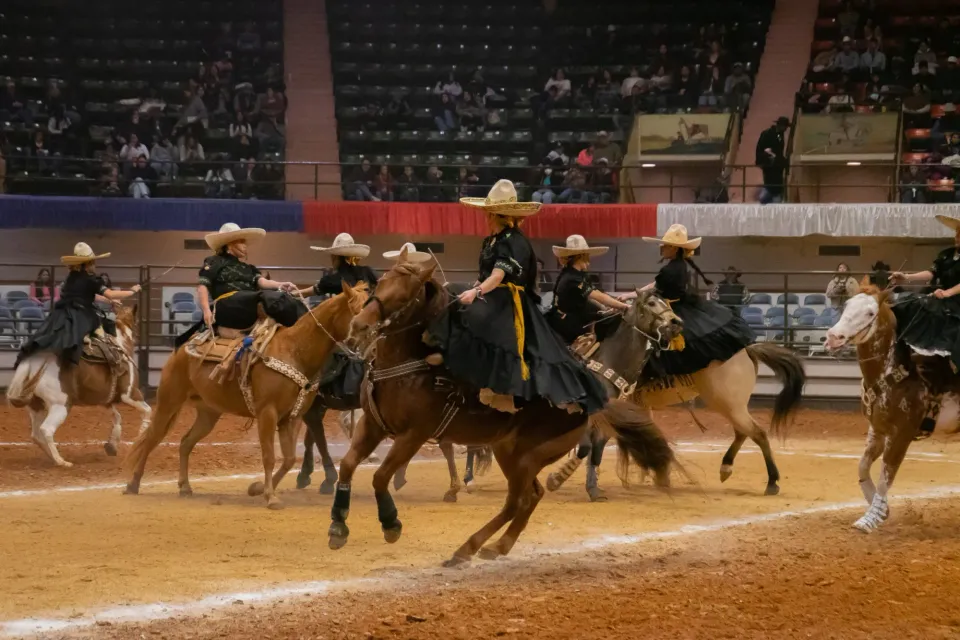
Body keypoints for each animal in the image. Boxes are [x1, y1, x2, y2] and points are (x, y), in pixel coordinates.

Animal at [7, 304, 150, 464]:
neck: (120, 345)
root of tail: (35, 363)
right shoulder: (131, 394)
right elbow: (147, 411)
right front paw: (141, 437)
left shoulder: (106, 401)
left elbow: (117, 417)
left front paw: (112, 446)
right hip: (60, 406)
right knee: (46, 430)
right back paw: (61, 461)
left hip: (36, 405)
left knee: (36, 435)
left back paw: (52, 457)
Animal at [125, 284, 366, 510]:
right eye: (358, 312)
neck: (294, 350)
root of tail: (183, 348)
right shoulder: (268, 413)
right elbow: (269, 456)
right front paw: (270, 497)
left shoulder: (293, 417)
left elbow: (289, 459)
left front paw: (258, 488)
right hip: (168, 402)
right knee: (151, 439)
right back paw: (133, 484)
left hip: (208, 413)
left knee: (185, 443)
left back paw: (185, 487)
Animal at [330, 258, 684, 568]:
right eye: (380, 283)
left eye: (406, 293)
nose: (359, 326)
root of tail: (581, 399)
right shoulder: (373, 423)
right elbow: (347, 465)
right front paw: (338, 526)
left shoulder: (413, 435)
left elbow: (378, 476)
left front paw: (391, 523)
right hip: (508, 452)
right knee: (530, 495)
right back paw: (494, 544)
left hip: (528, 456)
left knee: (519, 500)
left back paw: (470, 547)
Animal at [820, 282, 948, 532]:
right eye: (847, 304)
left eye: (870, 313)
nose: (833, 336)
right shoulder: (878, 429)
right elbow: (863, 466)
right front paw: (879, 508)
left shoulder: (902, 434)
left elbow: (886, 475)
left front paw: (871, 518)